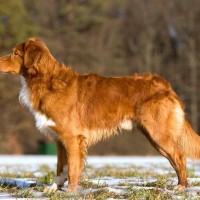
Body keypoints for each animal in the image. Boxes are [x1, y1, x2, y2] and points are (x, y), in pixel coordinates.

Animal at [0, 38, 200, 192]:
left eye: (15, 53)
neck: (45, 81)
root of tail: (165, 85)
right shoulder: (59, 140)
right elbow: (61, 168)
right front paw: (54, 188)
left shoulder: (72, 138)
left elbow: (72, 168)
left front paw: (70, 191)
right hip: (154, 137)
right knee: (175, 158)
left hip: (159, 134)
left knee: (179, 157)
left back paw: (181, 187)